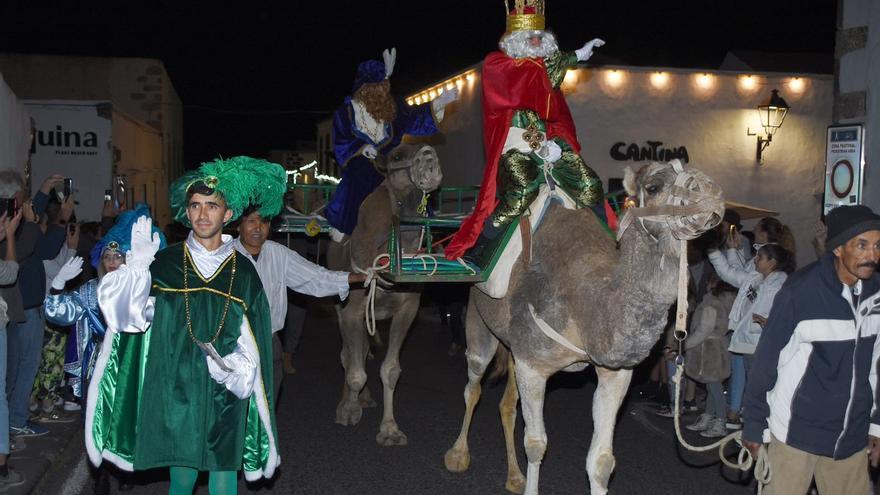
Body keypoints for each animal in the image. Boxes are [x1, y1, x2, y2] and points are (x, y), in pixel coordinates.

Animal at [328, 142, 444, 446]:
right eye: (397, 155)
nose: (430, 155)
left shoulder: (408, 309)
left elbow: (390, 370)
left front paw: (390, 430)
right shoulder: (352, 309)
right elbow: (354, 368)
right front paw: (349, 410)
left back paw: (366, 399)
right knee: (347, 354)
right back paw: (348, 401)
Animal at [444, 161, 724, 494]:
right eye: (654, 187)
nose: (713, 196)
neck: (587, 304)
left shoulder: (614, 373)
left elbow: (601, 462)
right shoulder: (533, 366)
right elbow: (536, 444)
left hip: (512, 347)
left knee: (507, 404)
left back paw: (514, 477)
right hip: (479, 318)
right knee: (473, 384)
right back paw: (458, 455)